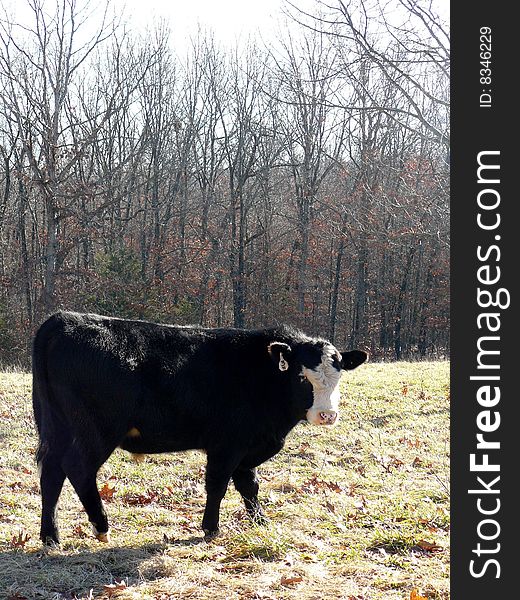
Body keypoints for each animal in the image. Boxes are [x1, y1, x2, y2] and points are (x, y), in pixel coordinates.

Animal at [30, 312, 368, 548]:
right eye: (301, 376)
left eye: (338, 373)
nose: (327, 415)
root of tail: (63, 319)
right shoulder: (227, 445)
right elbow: (217, 485)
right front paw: (210, 528)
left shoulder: (246, 446)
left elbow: (249, 486)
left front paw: (260, 522)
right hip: (96, 431)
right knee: (77, 468)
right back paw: (101, 528)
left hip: (57, 428)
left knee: (51, 474)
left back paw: (51, 536)